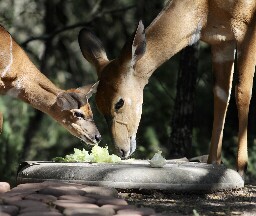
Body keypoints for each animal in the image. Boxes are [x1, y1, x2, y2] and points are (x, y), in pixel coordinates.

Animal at [79, 0, 255, 176]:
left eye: (119, 102)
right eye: (98, 106)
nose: (121, 150)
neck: (206, 8)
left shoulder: (247, 30)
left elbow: (242, 92)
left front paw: (241, 169)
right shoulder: (221, 42)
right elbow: (221, 96)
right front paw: (213, 162)